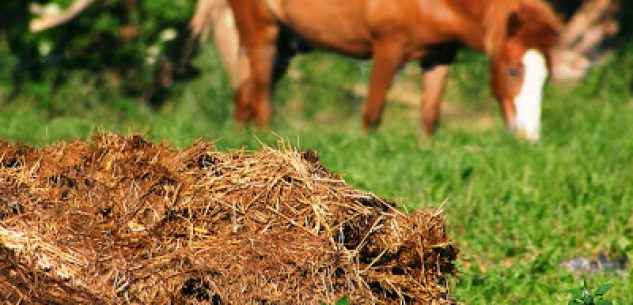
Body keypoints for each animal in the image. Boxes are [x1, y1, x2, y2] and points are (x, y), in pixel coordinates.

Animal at [226, 0, 556, 140]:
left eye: (546, 78)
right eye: (513, 71)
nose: (530, 135)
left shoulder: (439, 56)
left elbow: (429, 117)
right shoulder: (388, 47)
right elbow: (372, 114)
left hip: (287, 45)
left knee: (246, 94)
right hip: (262, 33)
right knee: (262, 98)